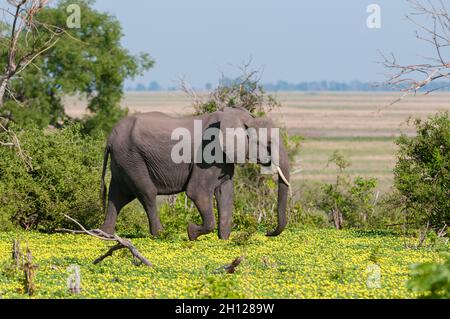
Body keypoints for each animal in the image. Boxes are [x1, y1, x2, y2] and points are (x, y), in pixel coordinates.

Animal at [100, 106, 290, 241]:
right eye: (268, 143)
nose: (267, 233)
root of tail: (110, 138)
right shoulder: (208, 153)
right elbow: (197, 192)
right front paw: (191, 232)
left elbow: (226, 192)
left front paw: (224, 240)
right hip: (132, 158)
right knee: (147, 193)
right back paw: (161, 235)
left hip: (123, 161)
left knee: (117, 196)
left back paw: (104, 234)